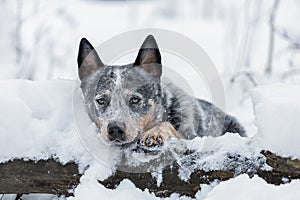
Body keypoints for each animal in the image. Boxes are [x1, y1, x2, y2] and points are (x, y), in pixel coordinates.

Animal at [77, 34, 246, 148]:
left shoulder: (190, 135)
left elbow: (168, 126)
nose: (115, 129)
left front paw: (154, 133)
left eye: (135, 99)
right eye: (101, 100)